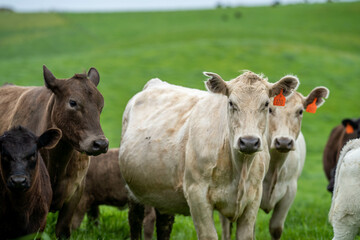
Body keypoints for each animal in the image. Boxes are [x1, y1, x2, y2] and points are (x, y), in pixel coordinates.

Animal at [118, 70, 298, 239]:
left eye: (267, 104)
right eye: (231, 103)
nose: (248, 141)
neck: (239, 169)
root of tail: (156, 83)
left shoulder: (253, 198)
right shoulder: (197, 194)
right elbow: (209, 235)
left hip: (164, 191)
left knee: (164, 223)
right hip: (133, 190)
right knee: (135, 219)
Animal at [219, 86, 330, 240]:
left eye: (300, 111)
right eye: (270, 109)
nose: (283, 141)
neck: (274, 166)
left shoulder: (290, 191)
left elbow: (276, 228)